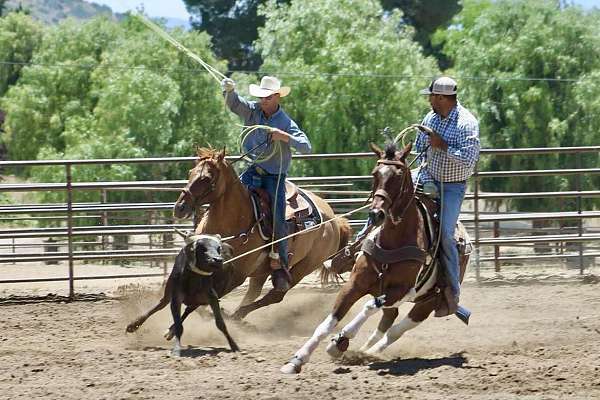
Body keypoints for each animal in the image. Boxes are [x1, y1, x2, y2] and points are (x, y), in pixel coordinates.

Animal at [172, 148, 352, 320]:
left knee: (275, 296)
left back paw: (237, 317)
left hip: (305, 267)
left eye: (207, 178)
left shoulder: (237, 275)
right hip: (263, 270)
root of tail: (335, 220)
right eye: (190, 172)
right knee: (255, 291)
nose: (180, 207)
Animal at [278, 142, 472, 374]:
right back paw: (362, 351)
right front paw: (297, 359)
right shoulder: (354, 284)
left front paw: (341, 340)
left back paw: (368, 352)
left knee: (397, 329)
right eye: (375, 173)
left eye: (399, 176)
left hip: (429, 302)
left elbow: (369, 307)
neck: (392, 242)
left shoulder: (401, 291)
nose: (376, 214)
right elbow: (327, 323)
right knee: (388, 321)